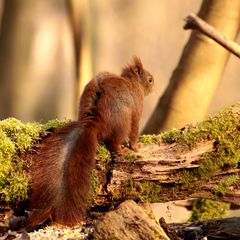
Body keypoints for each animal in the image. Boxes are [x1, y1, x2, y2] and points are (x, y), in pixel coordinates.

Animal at [26, 56, 154, 229]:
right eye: (149, 79)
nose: (153, 86)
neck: (132, 83)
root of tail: (94, 124)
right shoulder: (137, 108)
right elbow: (135, 130)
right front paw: (136, 147)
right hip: (123, 120)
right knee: (113, 144)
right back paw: (123, 150)